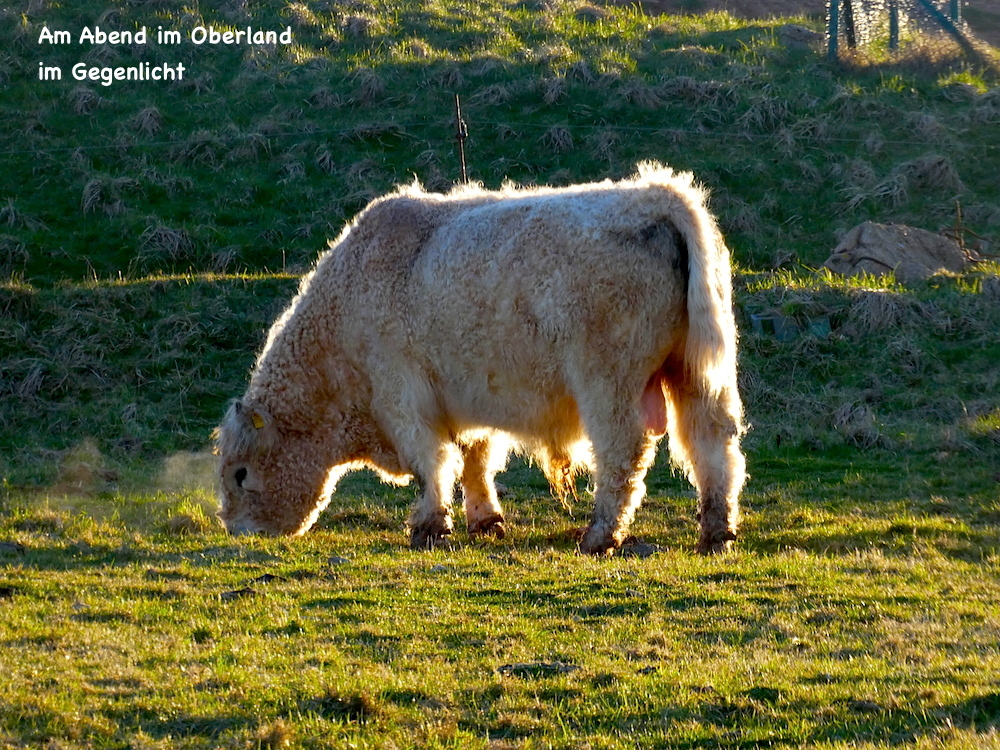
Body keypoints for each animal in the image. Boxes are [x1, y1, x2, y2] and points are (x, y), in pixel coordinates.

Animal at [215, 162, 748, 556]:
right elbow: (475, 458)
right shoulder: (466, 399)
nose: (237, 532)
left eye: (241, 474)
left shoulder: (402, 397)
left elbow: (432, 463)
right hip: (697, 378)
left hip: (609, 386)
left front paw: (429, 526)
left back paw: (600, 535)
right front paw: (484, 520)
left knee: (623, 454)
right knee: (713, 446)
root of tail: (656, 194)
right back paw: (716, 533)